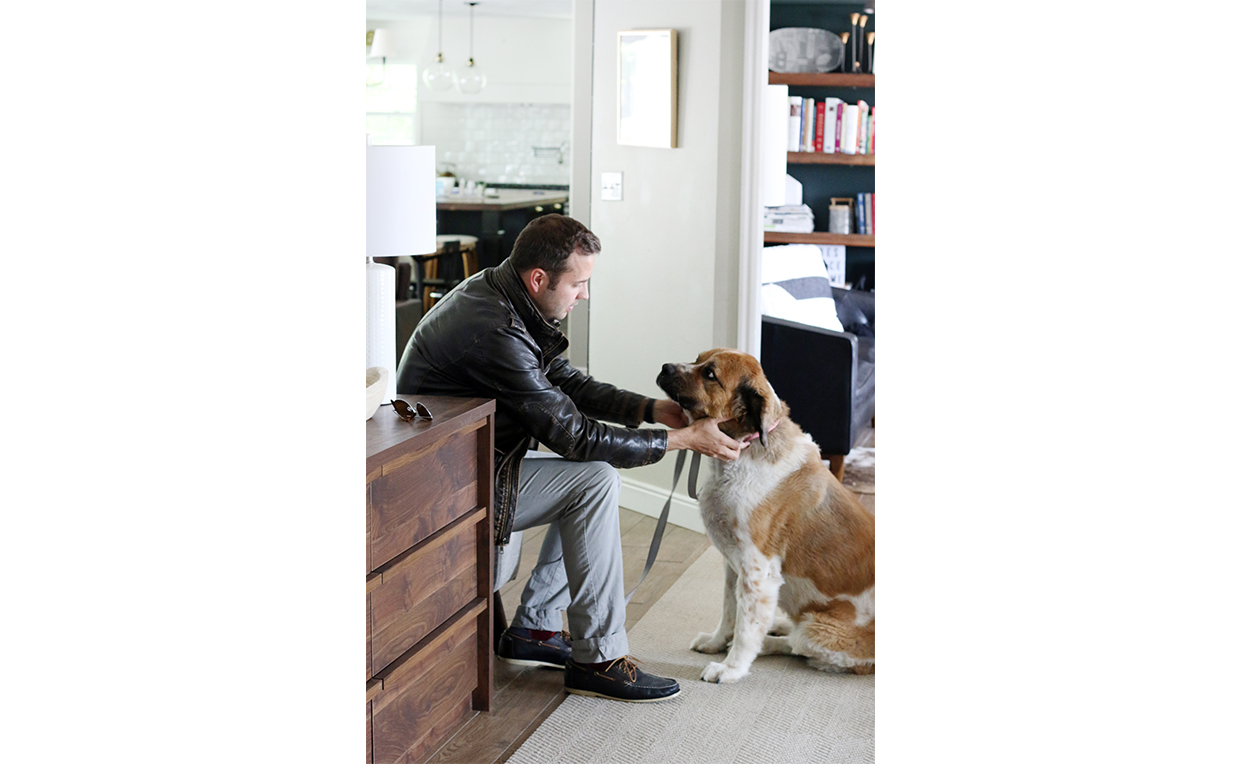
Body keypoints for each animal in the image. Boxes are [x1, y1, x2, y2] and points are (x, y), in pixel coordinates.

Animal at [659, 349, 872, 684]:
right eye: (697, 359)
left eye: (710, 374)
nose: (665, 367)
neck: (743, 450)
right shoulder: (733, 567)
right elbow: (729, 612)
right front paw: (716, 642)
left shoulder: (757, 571)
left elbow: (746, 629)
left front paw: (731, 668)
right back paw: (780, 625)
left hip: (821, 630)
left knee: (798, 645)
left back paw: (772, 639)